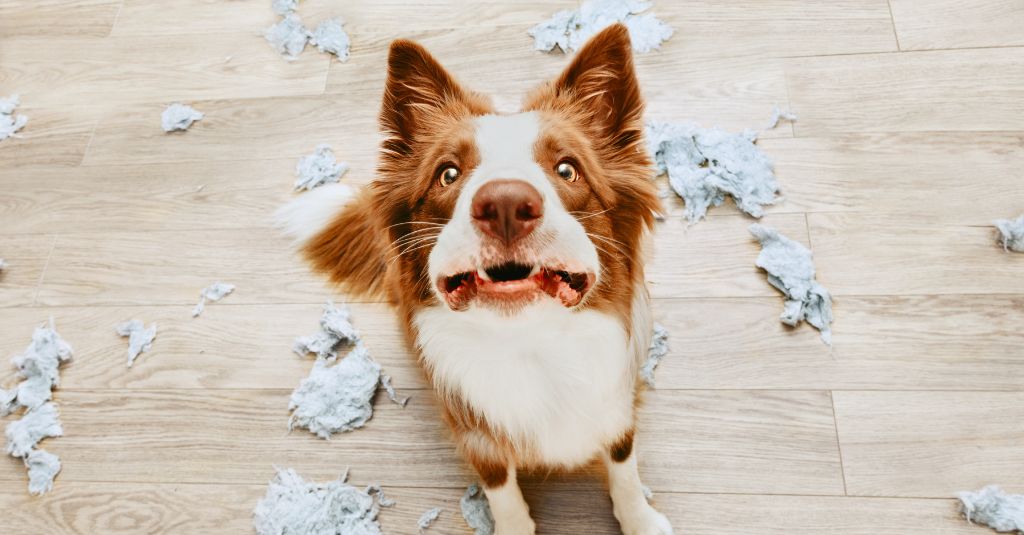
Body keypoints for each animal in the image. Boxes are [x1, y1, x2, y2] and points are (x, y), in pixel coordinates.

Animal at [278, 22, 671, 528]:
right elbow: (500, 487)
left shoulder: (618, 406)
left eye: (568, 169)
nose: (505, 203)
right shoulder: (475, 435)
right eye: (448, 174)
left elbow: (623, 465)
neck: (530, 347)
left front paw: (640, 520)